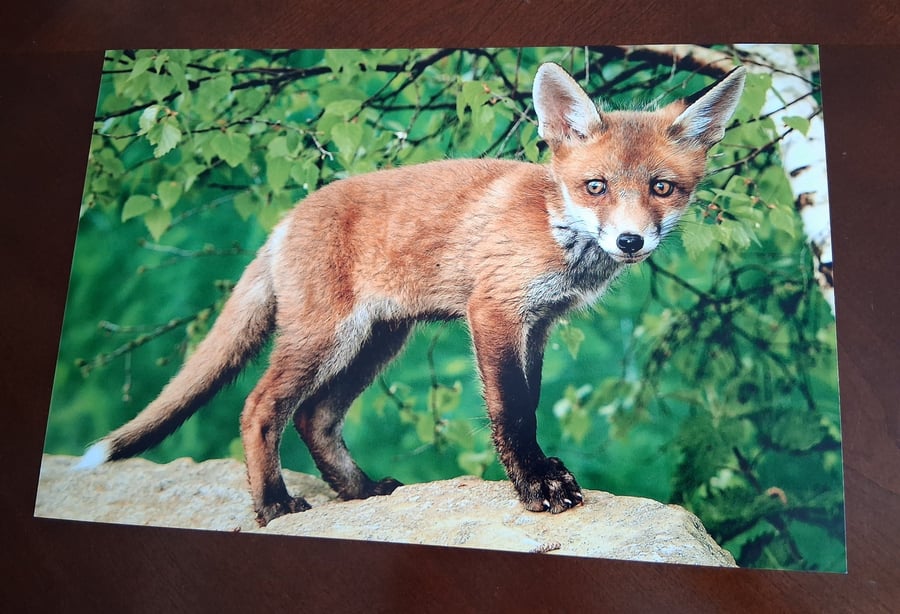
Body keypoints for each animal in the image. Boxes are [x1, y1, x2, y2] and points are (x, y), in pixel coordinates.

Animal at [77, 61, 746, 526]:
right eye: (596, 186)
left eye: (662, 187)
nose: (631, 241)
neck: (556, 228)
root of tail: (286, 219)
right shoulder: (494, 311)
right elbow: (512, 410)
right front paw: (536, 485)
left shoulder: (538, 324)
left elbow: (529, 404)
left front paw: (541, 473)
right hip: (326, 338)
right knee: (261, 408)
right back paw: (272, 505)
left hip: (378, 342)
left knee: (316, 418)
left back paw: (360, 492)